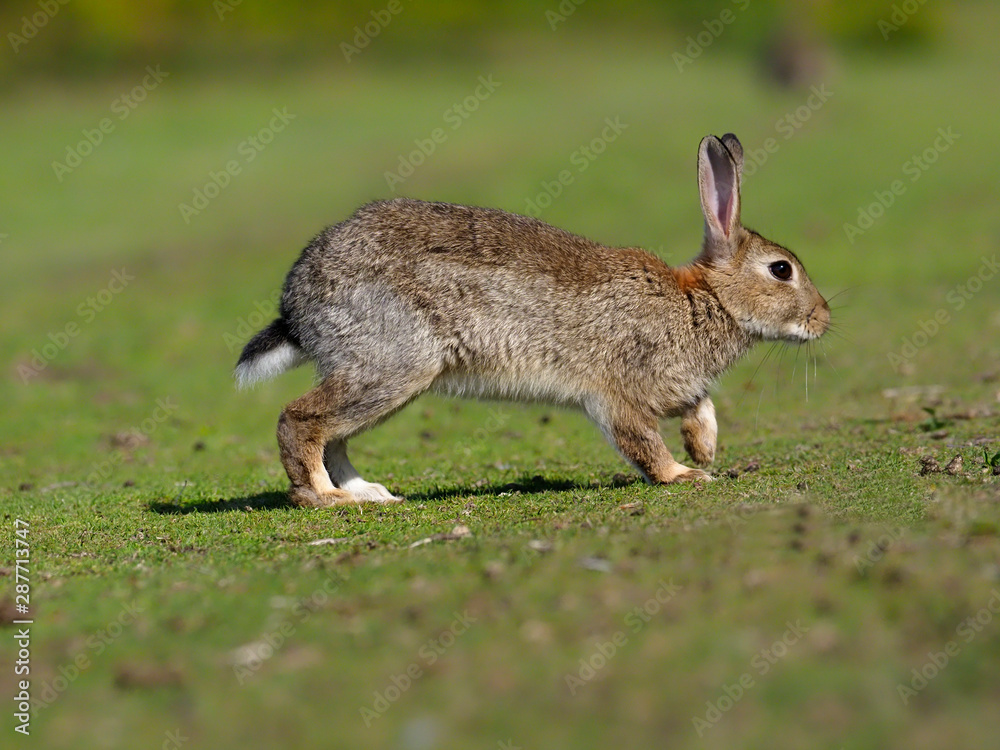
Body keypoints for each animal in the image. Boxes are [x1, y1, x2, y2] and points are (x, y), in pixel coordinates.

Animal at [235, 133, 829, 507]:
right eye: (781, 270)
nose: (824, 319)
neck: (707, 299)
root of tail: (297, 301)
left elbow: (700, 407)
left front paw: (703, 449)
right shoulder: (617, 391)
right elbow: (641, 441)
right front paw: (686, 474)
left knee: (334, 436)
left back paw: (368, 492)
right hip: (391, 365)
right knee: (300, 420)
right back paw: (327, 498)